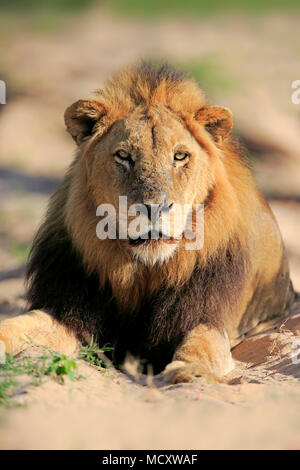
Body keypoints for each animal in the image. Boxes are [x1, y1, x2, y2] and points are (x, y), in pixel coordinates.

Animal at [0, 62, 296, 384]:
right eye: (124, 156)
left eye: (180, 156)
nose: (154, 208)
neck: (144, 271)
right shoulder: (70, 309)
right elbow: (23, 324)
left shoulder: (207, 315)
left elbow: (203, 343)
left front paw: (188, 371)